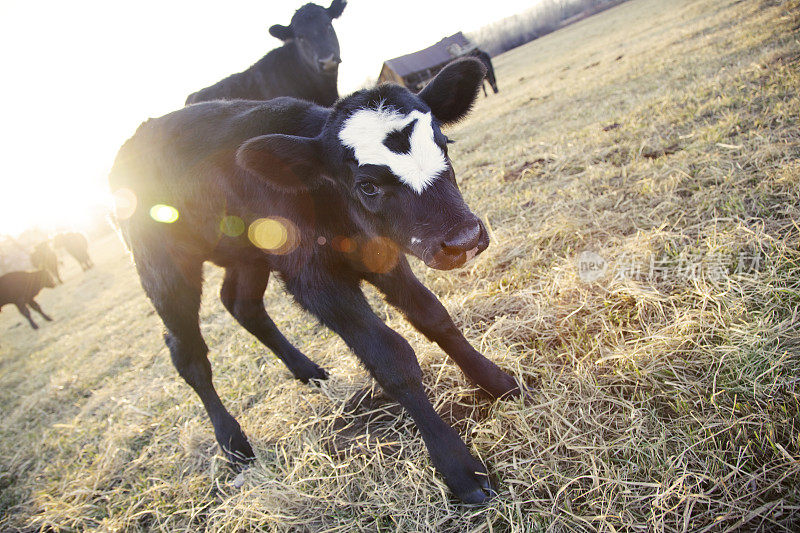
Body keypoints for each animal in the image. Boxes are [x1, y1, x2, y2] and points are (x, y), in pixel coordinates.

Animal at [111, 59, 520, 502]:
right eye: (367, 185)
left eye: (445, 144)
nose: (463, 238)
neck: (333, 212)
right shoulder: (316, 281)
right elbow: (390, 356)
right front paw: (458, 467)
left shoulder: (381, 253)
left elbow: (434, 317)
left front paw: (496, 382)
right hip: (162, 266)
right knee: (186, 351)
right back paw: (233, 442)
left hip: (250, 252)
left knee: (241, 304)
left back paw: (307, 371)